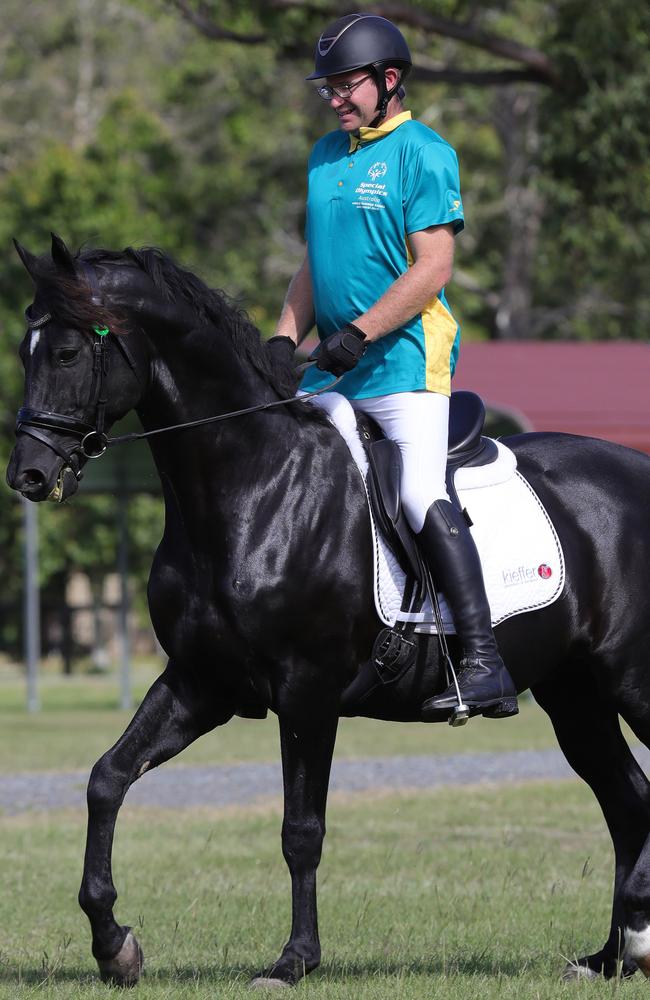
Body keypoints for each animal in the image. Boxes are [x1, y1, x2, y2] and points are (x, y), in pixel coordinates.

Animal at [7, 236, 648, 984]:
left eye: (66, 354)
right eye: (25, 349)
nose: (27, 474)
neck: (255, 488)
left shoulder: (307, 691)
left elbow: (301, 830)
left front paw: (294, 959)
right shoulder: (201, 683)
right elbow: (106, 778)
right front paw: (115, 946)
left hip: (630, 682)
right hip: (575, 694)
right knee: (628, 802)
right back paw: (616, 953)